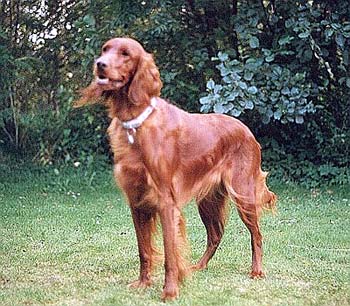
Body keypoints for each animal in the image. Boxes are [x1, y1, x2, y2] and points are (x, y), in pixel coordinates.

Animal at [76, 37, 276, 300]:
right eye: (105, 49)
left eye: (126, 53)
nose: (100, 64)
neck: (136, 126)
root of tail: (248, 131)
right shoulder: (136, 202)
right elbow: (144, 250)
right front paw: (143, 283)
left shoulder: (165, 202)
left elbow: (170, 253)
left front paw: (170, 291)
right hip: (208, 200)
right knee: (215, 235)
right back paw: (198, 266)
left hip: (242, 193)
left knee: (257, 234)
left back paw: (256, 271)